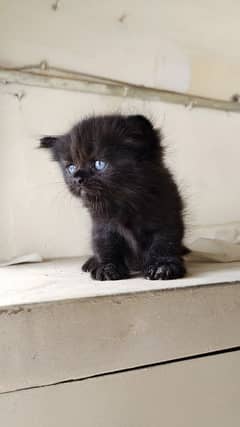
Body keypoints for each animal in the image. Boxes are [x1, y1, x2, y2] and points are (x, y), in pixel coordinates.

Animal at [39, 113, 186, 280]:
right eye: (71, 167)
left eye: (99, 164)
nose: (77, 178)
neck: (125, 202)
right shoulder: (102, 225)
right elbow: (105, 245)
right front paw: (107, 268)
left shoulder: (167, 216)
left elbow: (164, 243)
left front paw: (163, 266)